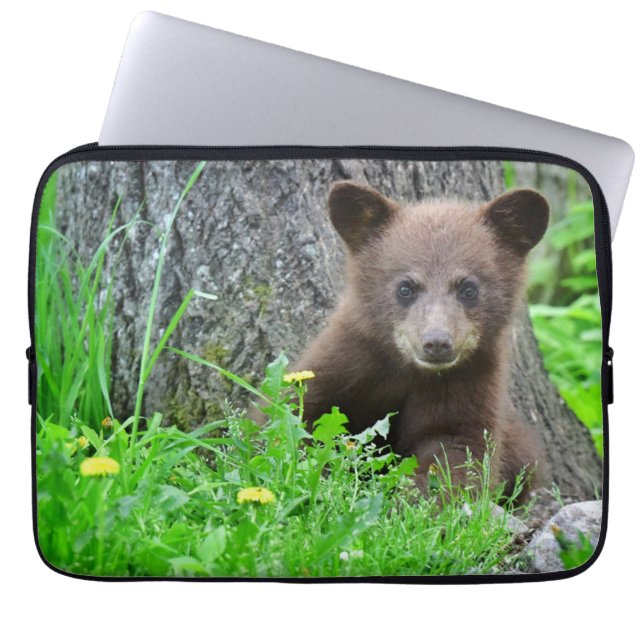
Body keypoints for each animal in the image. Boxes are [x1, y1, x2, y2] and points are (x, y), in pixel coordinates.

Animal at [292, 180, 550, 499]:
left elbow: (457, 449)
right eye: (405, 287)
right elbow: (299, 413)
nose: (436, 343)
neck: (408, 370)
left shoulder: (469, 382)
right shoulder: (346, 360)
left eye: (468, 288)